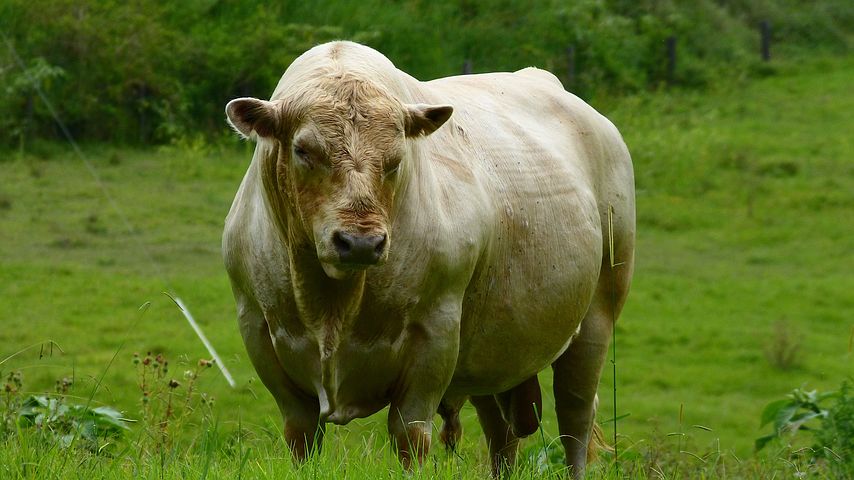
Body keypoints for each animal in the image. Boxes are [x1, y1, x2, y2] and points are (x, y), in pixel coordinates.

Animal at [223, 41, 634, 478]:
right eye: (303, 150)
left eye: (396, 159)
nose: (361, 243)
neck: (331, 305)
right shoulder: (259, 329)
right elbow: (301, 435)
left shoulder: (435, 333)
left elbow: (410, 434)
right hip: (490, 349)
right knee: (502, 434)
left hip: (597, 315)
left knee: (575, 418)